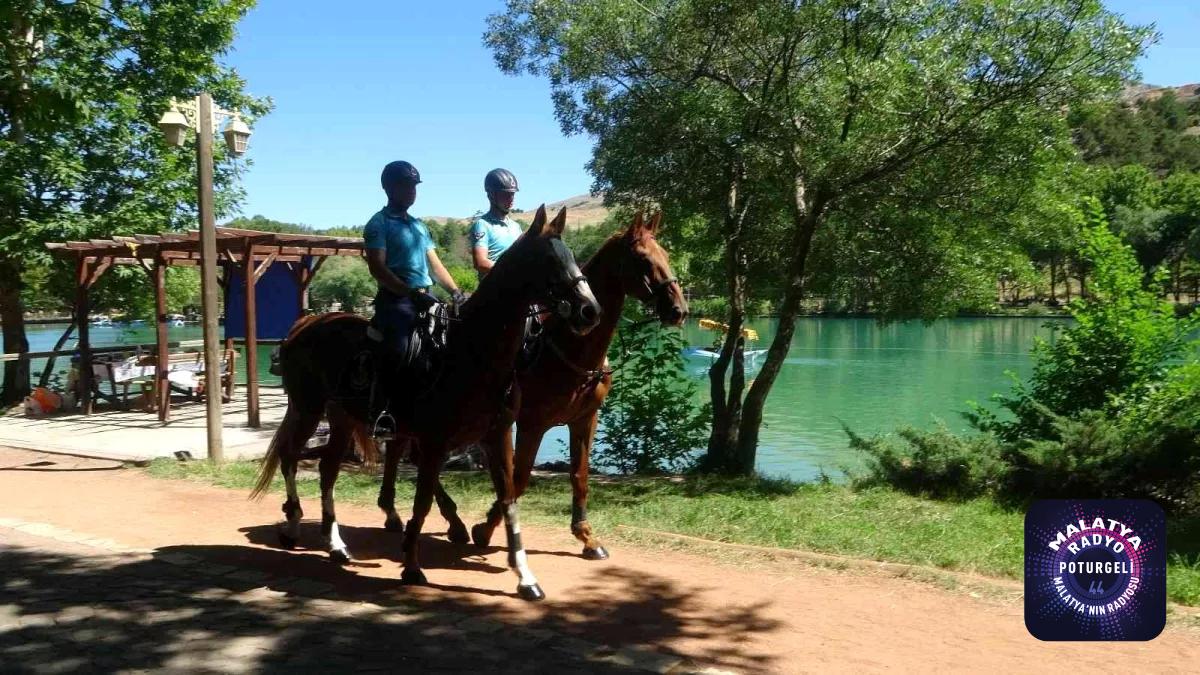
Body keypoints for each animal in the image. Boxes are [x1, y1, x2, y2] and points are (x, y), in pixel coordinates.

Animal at [250, 204, 597, 593]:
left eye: (571, 256)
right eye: (548, 260)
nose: (589, 310)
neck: (471, 353)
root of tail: (306, 325)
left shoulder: (497, 437)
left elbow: (508, 499)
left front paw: (525, 576)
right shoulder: (433, 442)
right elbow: (422, 504)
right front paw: (412, 567)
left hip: (341, 418)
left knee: (327, 470)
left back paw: (336, 544)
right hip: (308, 408)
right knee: (289, 456)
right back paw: (294, 525)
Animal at [379, 207, 691, 569]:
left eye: (665, 254)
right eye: (642, 258)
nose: (678, 310)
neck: (568, 347)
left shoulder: (585, 420)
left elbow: (579, 475)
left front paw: (586, 535)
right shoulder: (532, 423)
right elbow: (519, 477)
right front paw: (487, 528)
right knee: (409, 454)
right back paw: (420, 516)